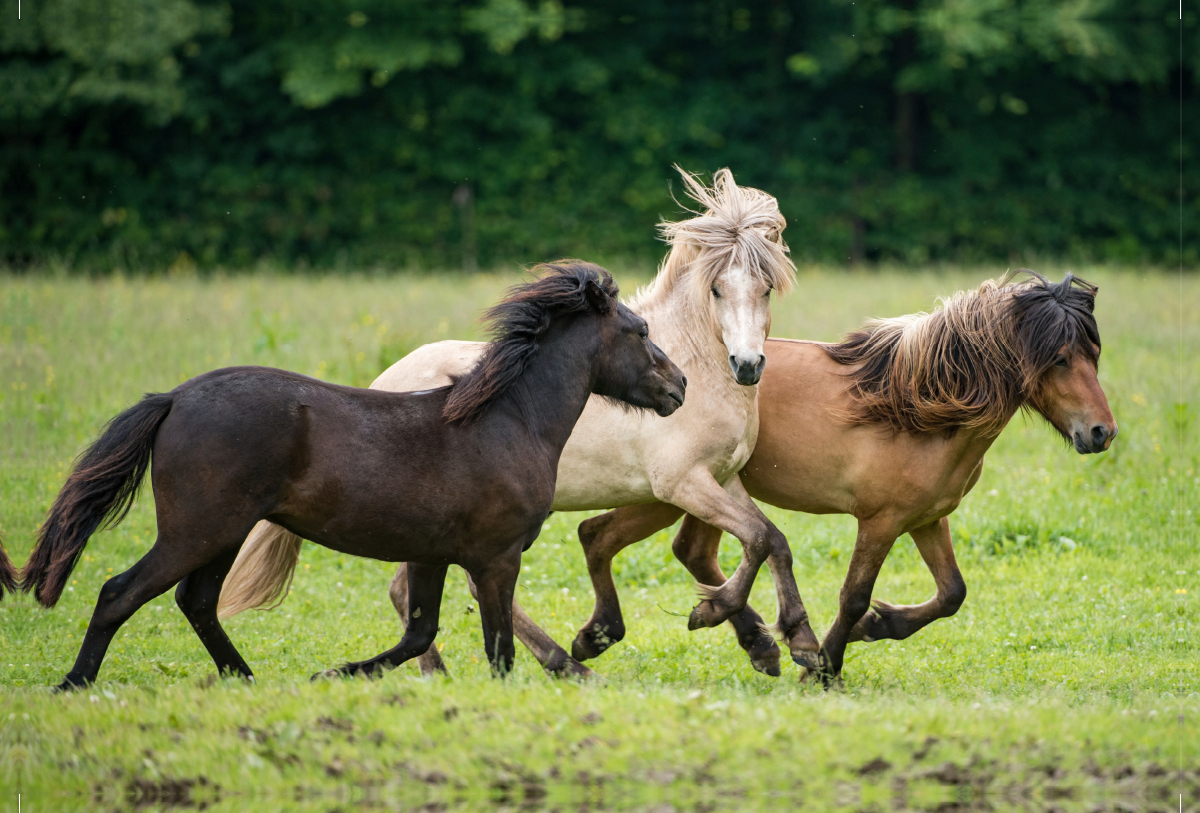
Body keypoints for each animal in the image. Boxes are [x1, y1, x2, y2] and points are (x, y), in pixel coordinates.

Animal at [21, 263, 686, 690]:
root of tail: (174, 398)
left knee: (197, 601)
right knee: (119, 593)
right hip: (196, 530)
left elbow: (419, 633)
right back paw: (74, 684)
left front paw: (332, 675)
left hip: (223, 533)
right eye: (641, 332)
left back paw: (246, 679)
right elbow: (496, 650)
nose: (679, 386)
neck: (512, 421)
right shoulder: (496, 558)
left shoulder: (433, 554)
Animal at [216, 169, 820, 676]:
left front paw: (788, 644)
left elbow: (771, 540)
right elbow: (756, 540)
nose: (747, 365)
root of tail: (382, 381)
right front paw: (718, 619)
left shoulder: (720, 480)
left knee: (412, 588)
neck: (698, 365)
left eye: (766, 288)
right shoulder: (683, 483)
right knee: (444, 588)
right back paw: (540, 663)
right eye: (717, 289)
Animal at [576, 271, 1118, 685]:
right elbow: (853, 596)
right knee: (611, 537)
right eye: (1060, 358)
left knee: (657, 545)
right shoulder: (881, 521)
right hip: (671, 491)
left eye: (1094, 355)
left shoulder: (926, 520)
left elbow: (952, 593)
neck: (917, 406)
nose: (1101, 432)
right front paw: (823, 666)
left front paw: (878, 626)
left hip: (692, 493)